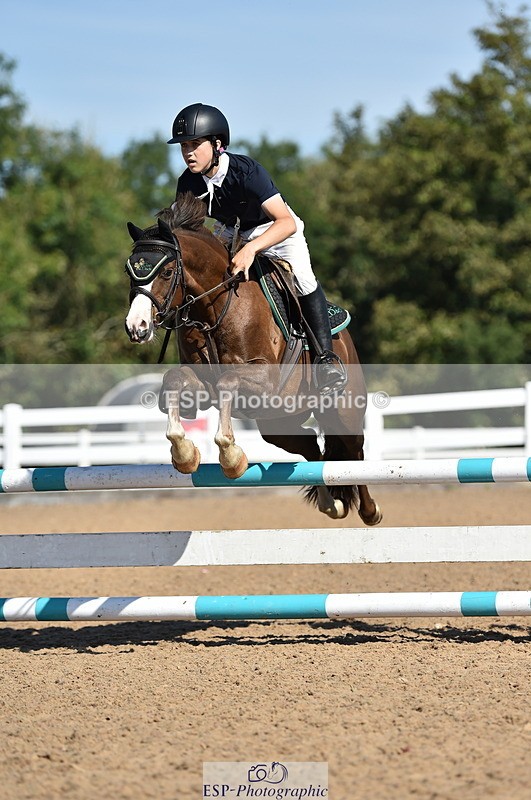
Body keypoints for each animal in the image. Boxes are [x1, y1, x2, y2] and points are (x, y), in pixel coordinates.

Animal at [124, 192, 382, 525]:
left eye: (167, 273)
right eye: (129, 272)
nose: (136, 327)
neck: (214, 307)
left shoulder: (263, 378)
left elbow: (227, 381)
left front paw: (231, 458)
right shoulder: (203, 381)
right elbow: (175, 379)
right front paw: (185, 454)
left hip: (342, 410)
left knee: (355, 453)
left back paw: (370, 511)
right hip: (278, 422)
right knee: (312, 447)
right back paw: (331, 504)